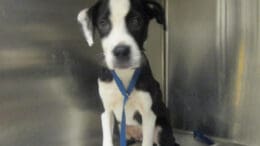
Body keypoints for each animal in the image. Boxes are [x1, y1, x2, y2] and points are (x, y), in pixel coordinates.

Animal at [77, 0, 179, 146]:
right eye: (103, 23)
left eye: (136, 21)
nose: (121, 51)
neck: (124, 74)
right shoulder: (106, 112)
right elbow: (107, 139)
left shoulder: (148, 114)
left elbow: (147, 142)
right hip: (122, 129)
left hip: (161, 129)